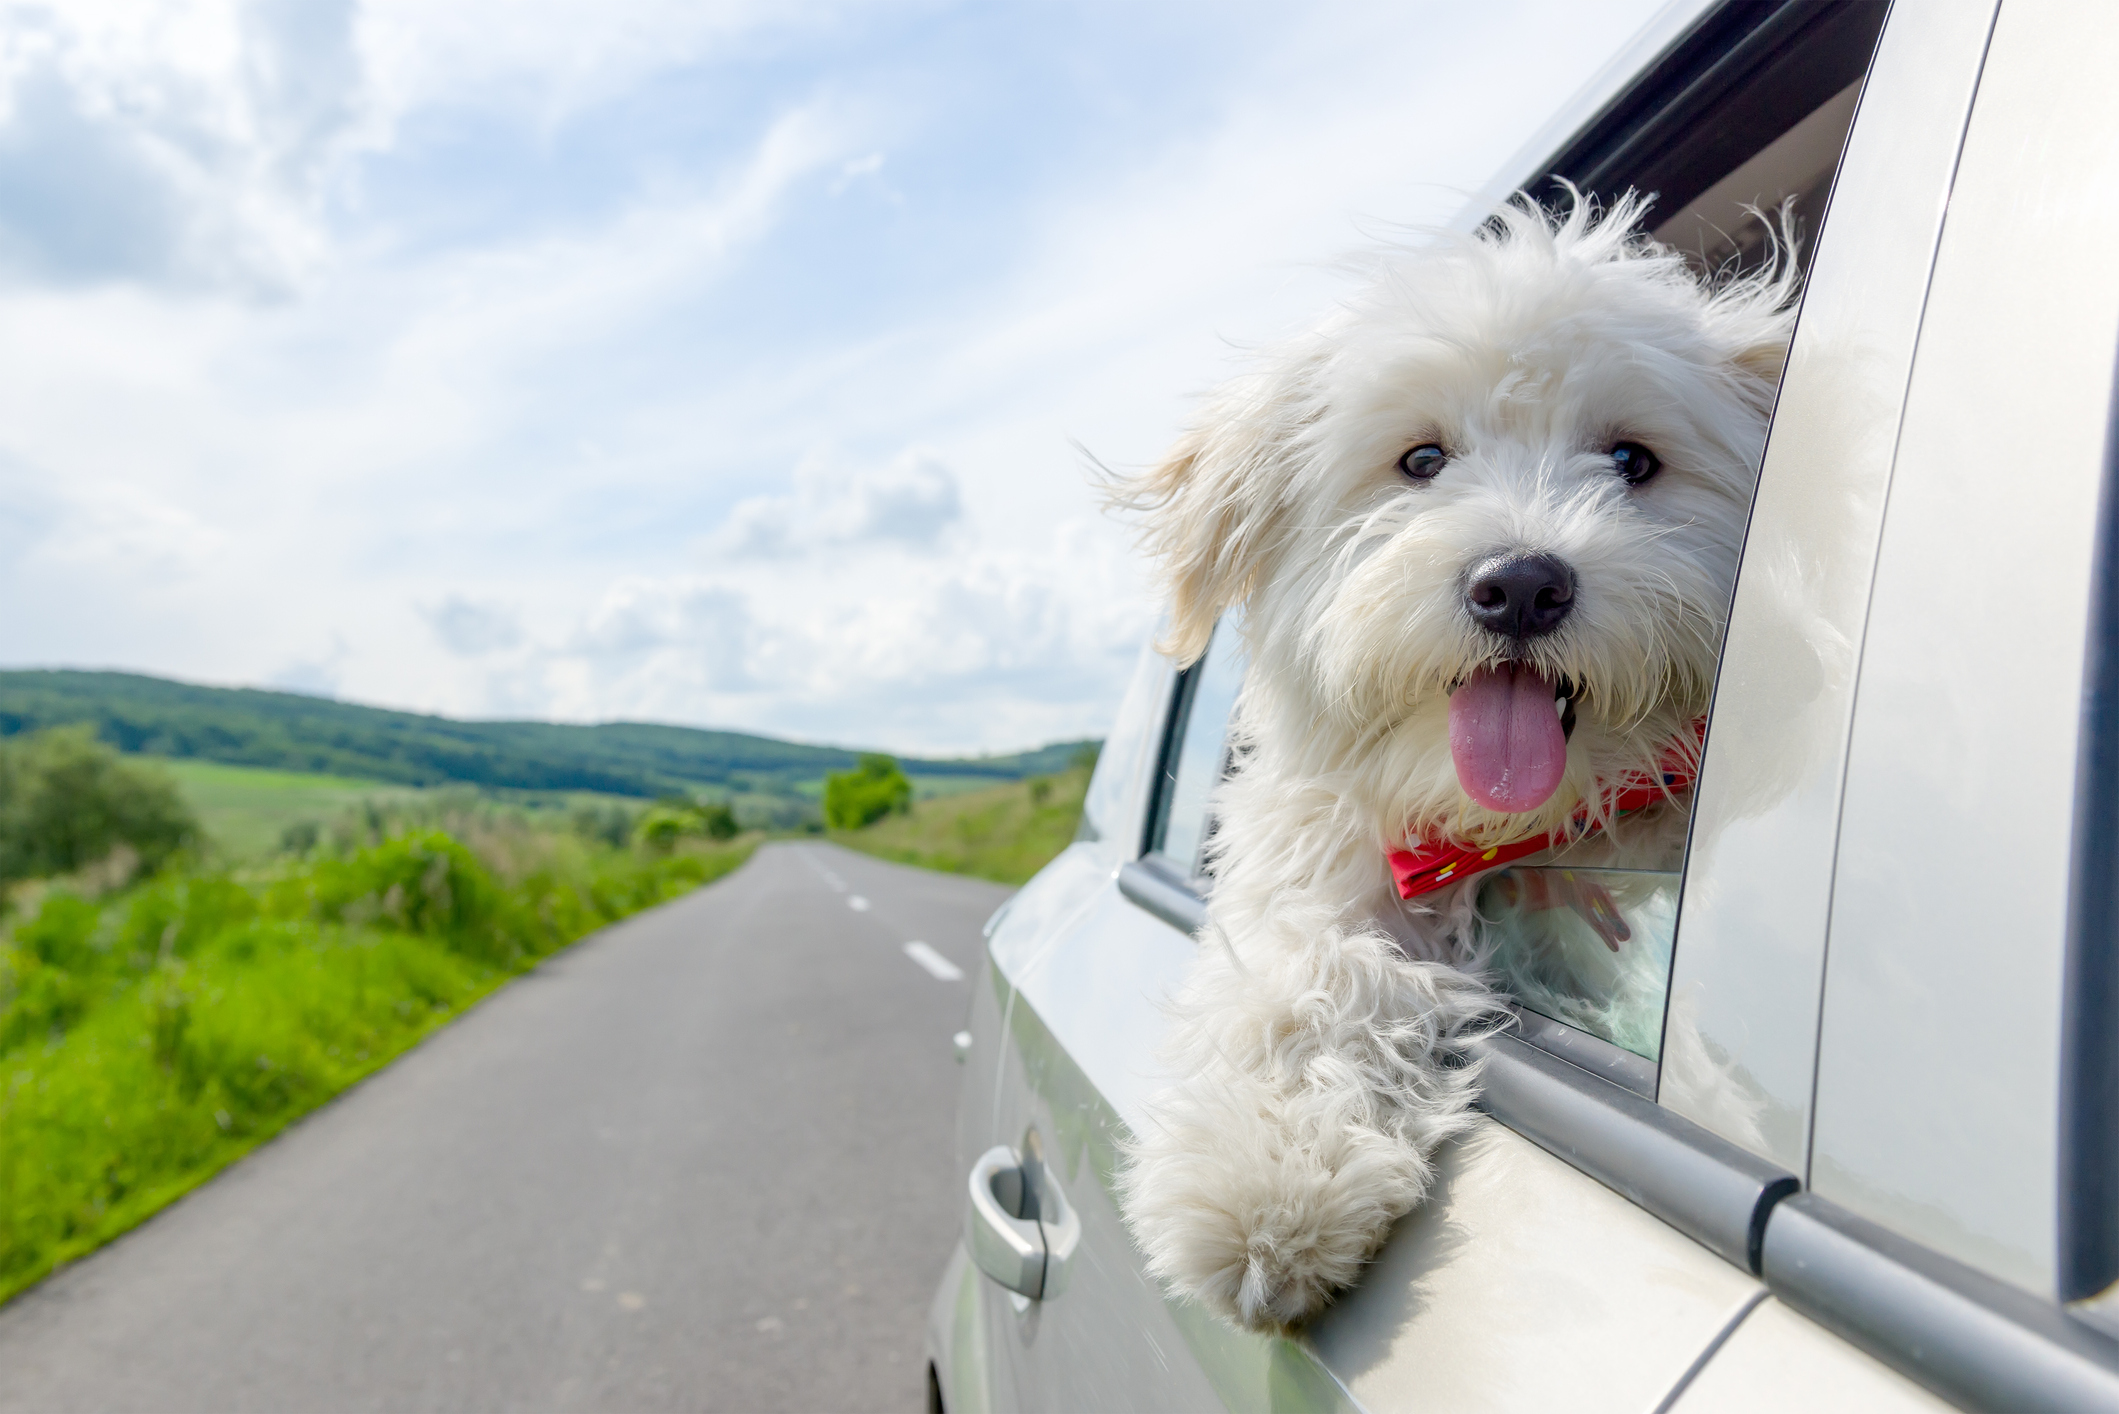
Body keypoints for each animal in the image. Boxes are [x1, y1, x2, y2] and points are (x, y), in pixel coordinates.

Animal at [1118, 193, 1796, 1331]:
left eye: (1631, 462)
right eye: (1421, 461)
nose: (1518, 583)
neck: (1510, 830)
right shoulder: (1323, 858)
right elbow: (1307, 973)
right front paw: (1263, 1180)